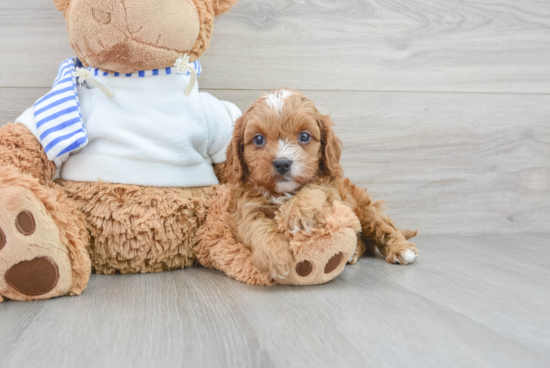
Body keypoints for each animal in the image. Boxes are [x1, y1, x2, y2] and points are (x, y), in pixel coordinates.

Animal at [224, 89, 418, 278]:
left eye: (304, 136)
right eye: (258, 139)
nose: (282, 163)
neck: (282, 193)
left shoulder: (330, 185)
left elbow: (314, 188)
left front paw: (298, 213)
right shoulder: (245, 208)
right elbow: (256, 225)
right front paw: (274, 256)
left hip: (365, 209)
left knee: (384, 227)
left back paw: (403, 249)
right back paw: (352, 253)